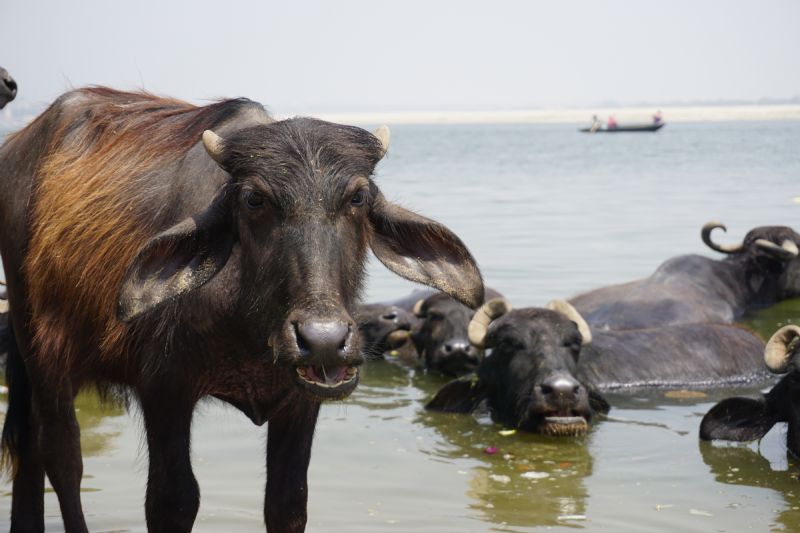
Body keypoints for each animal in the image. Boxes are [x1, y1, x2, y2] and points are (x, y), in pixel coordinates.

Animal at [0, 87, 484, 533]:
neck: (250, 325)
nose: (323, 340)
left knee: (29, 447)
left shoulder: (301, 399)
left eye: (358, 198)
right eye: (254, 200)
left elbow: (288, 502)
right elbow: (173, 501)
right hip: (38, 346)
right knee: (61, 454)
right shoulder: (164, 389)